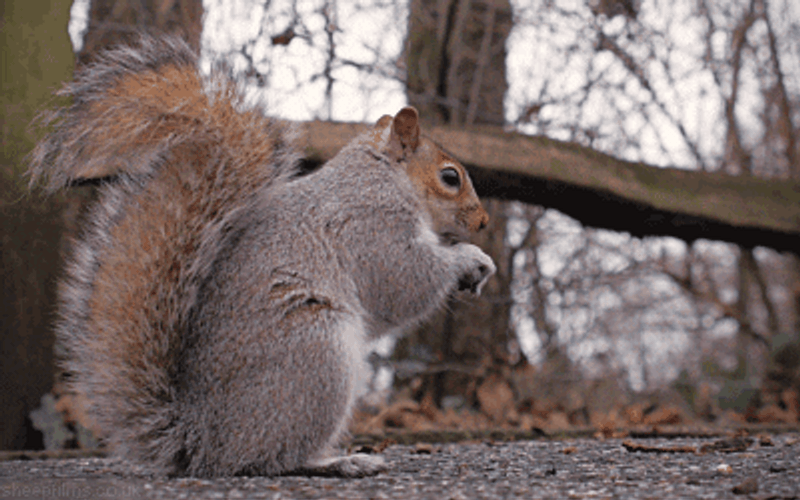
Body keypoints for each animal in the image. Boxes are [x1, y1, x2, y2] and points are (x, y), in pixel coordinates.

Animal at [29, 36, 496, 478]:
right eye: (450, 177)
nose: (484, 221)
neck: (382, 174)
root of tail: (202, 443)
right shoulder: (373, 226)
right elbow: (407, 279)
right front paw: (470, 259)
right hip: (315, 354)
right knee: (271, 459)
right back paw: (337, 463)